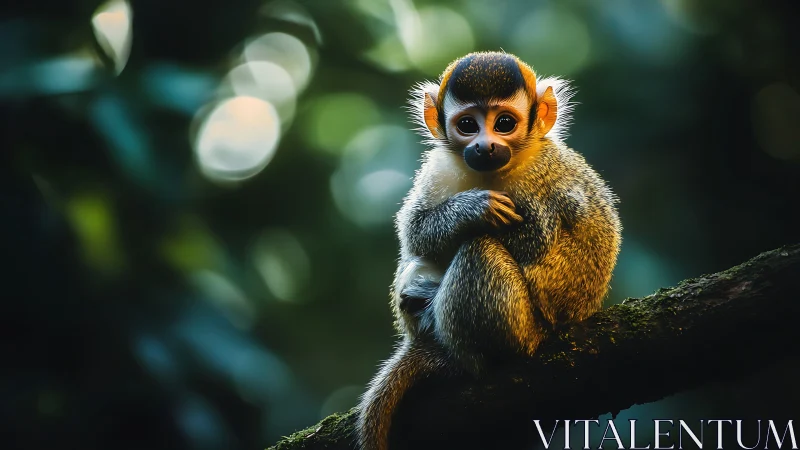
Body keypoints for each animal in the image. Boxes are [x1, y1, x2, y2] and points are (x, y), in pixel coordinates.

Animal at [357, 51, 622, 450]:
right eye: (468, 125)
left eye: (505, 123)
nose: (486, 145)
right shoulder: (439, 166)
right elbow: (415, 233)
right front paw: (472, 210)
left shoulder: (543, 175)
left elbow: (536, 243)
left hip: (526, 333)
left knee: (479, 248)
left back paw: (467, 358)